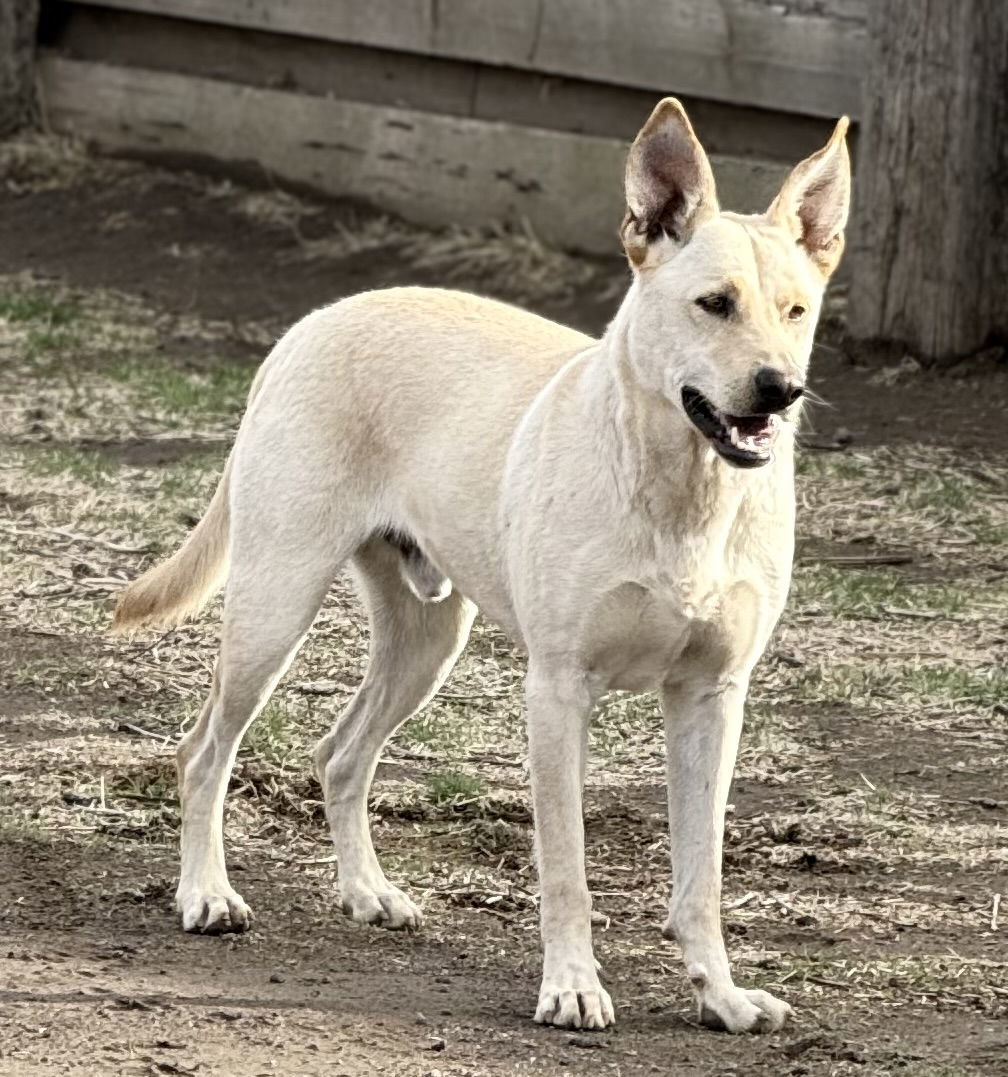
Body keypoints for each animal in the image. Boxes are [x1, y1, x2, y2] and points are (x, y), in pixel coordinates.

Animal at [114, 101, 848, 1033]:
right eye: (713, 304)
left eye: (796, 310)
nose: (780, 389)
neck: (685, 492)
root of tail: (309, 325)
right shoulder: (558, 691)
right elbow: (566, 868)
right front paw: (572, 985)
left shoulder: (712, 700)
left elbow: (701, 876)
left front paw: (719, 993)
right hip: (273, 609)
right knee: (203, 749)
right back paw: (207, 893)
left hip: (427, 643)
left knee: (340, 753)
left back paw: (366, 890)